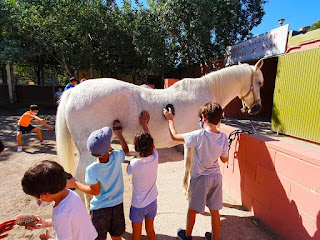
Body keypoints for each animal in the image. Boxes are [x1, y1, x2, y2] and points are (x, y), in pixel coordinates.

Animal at [56, 59, 264, 205]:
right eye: (260, 82)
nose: (256, 108)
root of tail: (74, 92)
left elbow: (187, 165)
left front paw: (185, 190)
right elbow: (190, 166)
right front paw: (189, 194)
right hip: (87, 152)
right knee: (81, 179)